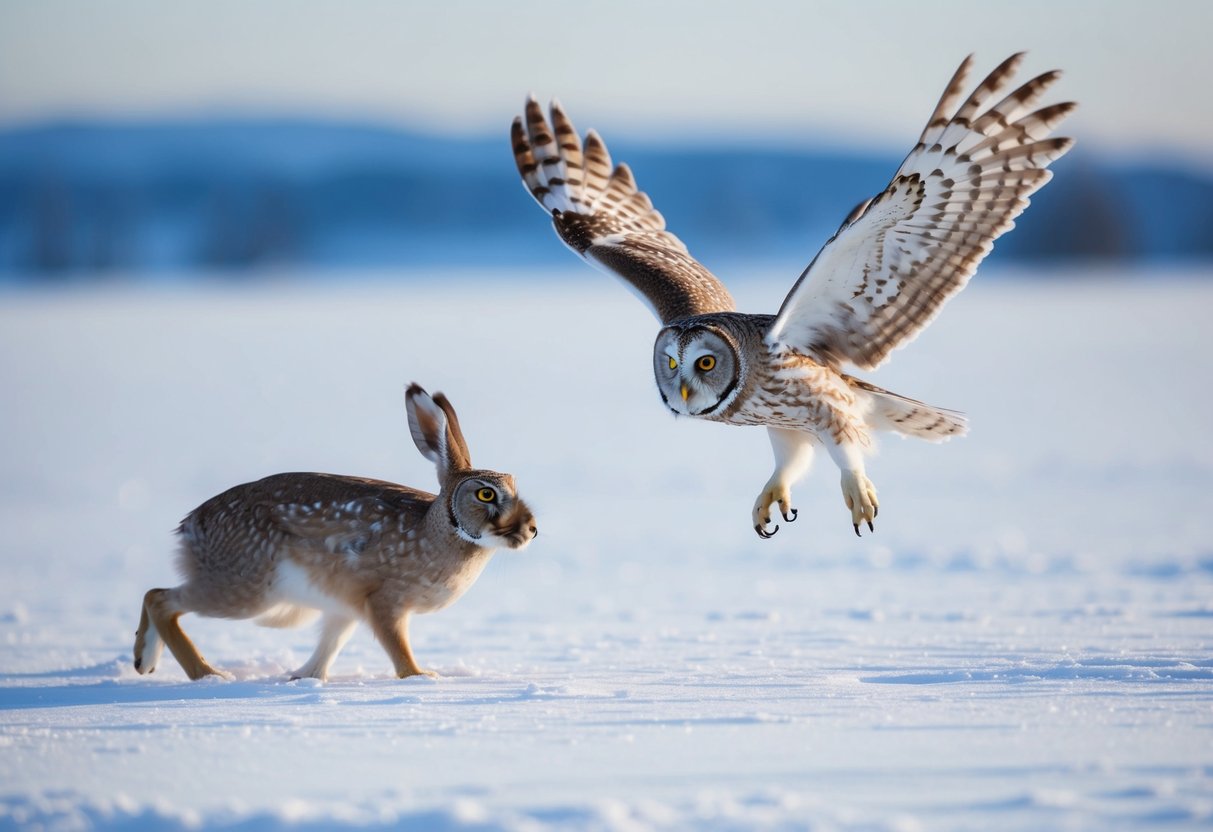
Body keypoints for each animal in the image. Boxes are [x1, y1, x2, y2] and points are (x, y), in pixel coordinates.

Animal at [133, 383, 537, 682]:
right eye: (485, 494)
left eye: (515, 484)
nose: (531, 530)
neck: (443, 528)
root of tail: (192, 524)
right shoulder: (384, 600)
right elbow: (397, 648)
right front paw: (421, 677)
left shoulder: (346, 609)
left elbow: (329, 645)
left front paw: (305, 678)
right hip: (247, 589)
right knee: (161, 599)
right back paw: (204, 674)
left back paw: (147, 661)